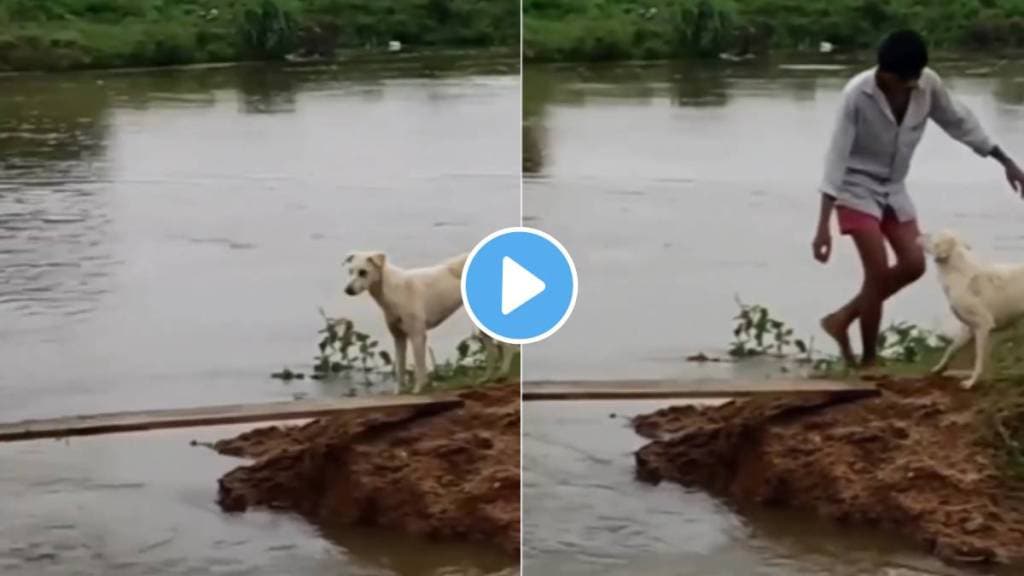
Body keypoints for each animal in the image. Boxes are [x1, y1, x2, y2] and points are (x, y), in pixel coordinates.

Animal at [346, 249, 520, 391]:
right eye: (350, 271)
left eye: (363, 272)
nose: (347, 290)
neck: (393, 290)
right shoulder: (399, 338)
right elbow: (400, 369)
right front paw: (399, 392)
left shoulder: (417, 335)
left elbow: (419, 366)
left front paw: (418, 390)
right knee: (492, 350)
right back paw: (487, 377)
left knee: (507, 346)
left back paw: (503, 373)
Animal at [921, 230, 1024, 387]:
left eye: (932, 237)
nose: (917, 235)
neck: (957, 273)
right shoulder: (969, 329)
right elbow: (951, 349)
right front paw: (940, 369)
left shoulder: (983, 326)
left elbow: (978, 360)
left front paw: (971, 382)